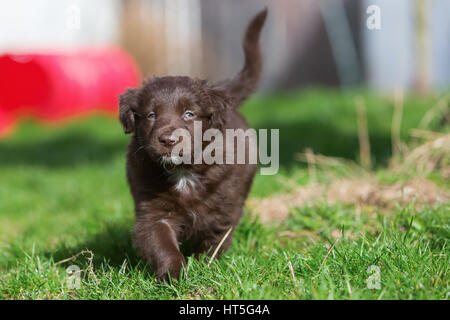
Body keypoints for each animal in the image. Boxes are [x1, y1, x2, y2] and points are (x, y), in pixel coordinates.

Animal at [118, 8, 268, 282]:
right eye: (151, 115)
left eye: (189, 114)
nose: (168, 140)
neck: (184, 172)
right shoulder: (153, 212)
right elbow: (161, 244)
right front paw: (174, 276)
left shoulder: (223, 209)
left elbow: (214, 241)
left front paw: (204, 268)